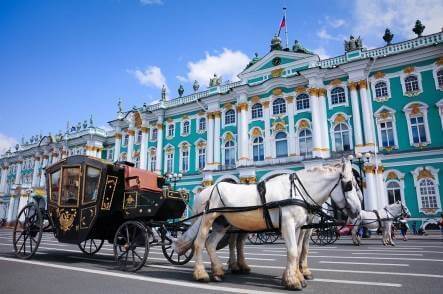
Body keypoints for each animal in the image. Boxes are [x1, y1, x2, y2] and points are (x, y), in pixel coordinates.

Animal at [176, 158, 360, 290]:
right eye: (349, 186)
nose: (357, 212)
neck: (297, 191)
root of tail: (206, 190)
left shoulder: (300, 227)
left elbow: (300, 249)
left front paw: (298, 276)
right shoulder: (288, 224)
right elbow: (293, 251)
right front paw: (293, 281)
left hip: (223, 224)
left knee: (214, 243)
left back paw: (219, 271)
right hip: (207, 219)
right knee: (200, 243)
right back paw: (202, 274)